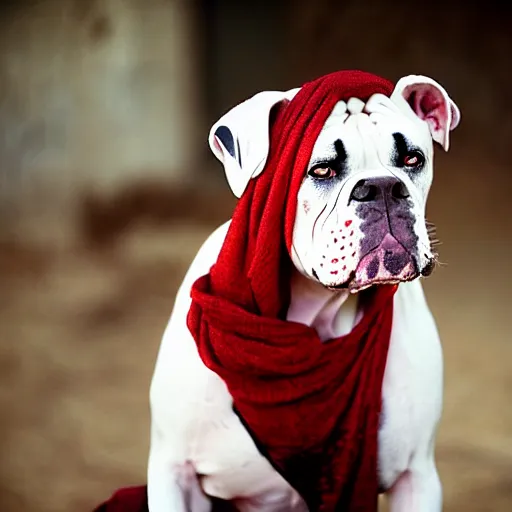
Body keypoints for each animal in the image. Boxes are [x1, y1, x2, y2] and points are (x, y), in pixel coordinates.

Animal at [147, 73, 460, 512]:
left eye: (413, 160)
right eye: (322, 169)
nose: (383, 188)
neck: (314, 320)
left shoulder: (417, 476)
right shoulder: (174, 473)